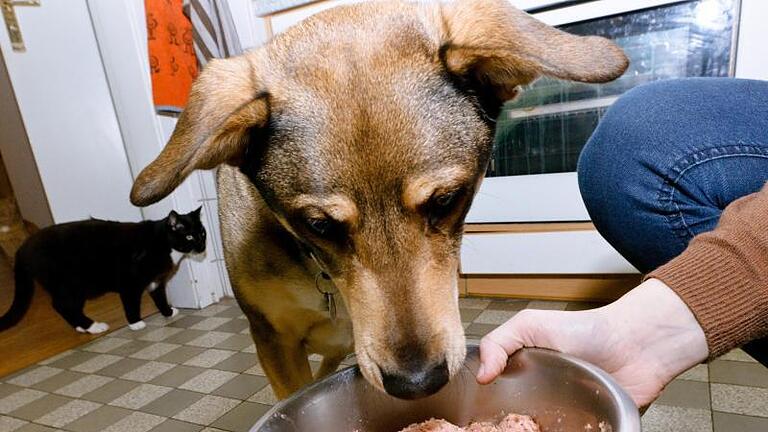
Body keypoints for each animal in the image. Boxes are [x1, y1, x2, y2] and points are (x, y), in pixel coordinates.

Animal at [0, 209, 206, 334]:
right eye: (189, 236)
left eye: (202, 233)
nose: (203, 247)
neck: (162, 241)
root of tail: (23, 247)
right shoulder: (130, 284)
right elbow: (131, 304)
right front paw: (135, 323)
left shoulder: (156, 282)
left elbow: (160, 298)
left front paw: (168, 312)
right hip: (71, 285)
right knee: (61, 305)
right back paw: (93, 326)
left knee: (65, 306)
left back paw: (82, 327)